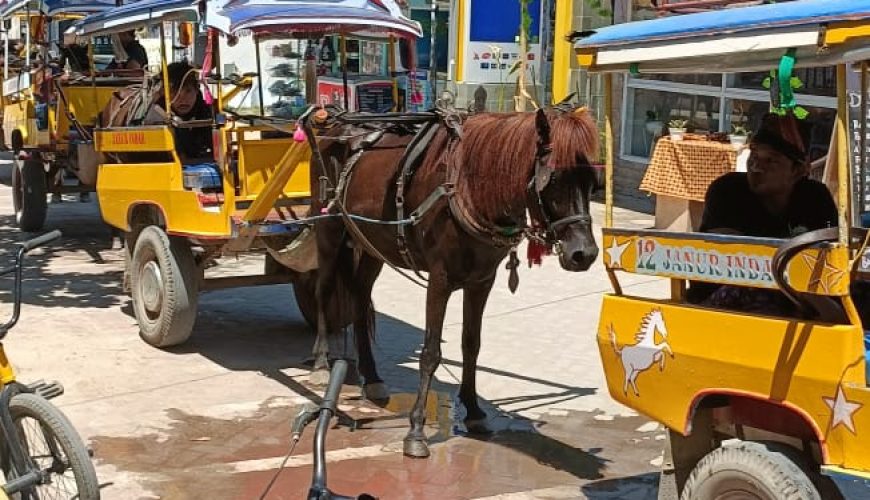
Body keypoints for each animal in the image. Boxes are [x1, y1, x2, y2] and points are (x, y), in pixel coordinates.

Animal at [309, 104, 601, 458]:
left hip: (371, 244)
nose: (584, 254)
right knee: (323, 288)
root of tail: (337, 124)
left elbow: (471, 345)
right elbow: (431, 352)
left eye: (593, 183)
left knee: (360, 298)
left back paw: (372, 375)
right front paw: (416, 430)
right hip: (327, 229)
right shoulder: (440, 280)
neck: (469, 189)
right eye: (553, 179)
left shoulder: (481, 281)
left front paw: (473, 410)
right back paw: (321, 359)